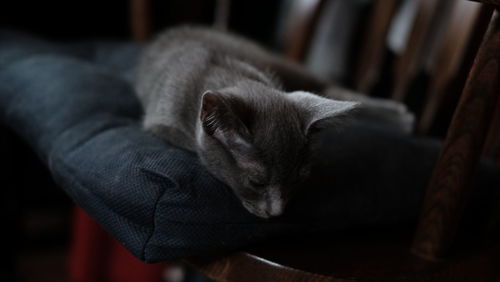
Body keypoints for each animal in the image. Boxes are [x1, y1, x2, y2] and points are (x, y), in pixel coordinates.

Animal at [135, 25, 412, 218]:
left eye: (298, 179)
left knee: (327, 85)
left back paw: (400, 116)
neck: (226, 71)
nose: (277, 213)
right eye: (256, 182)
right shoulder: (164, 118)